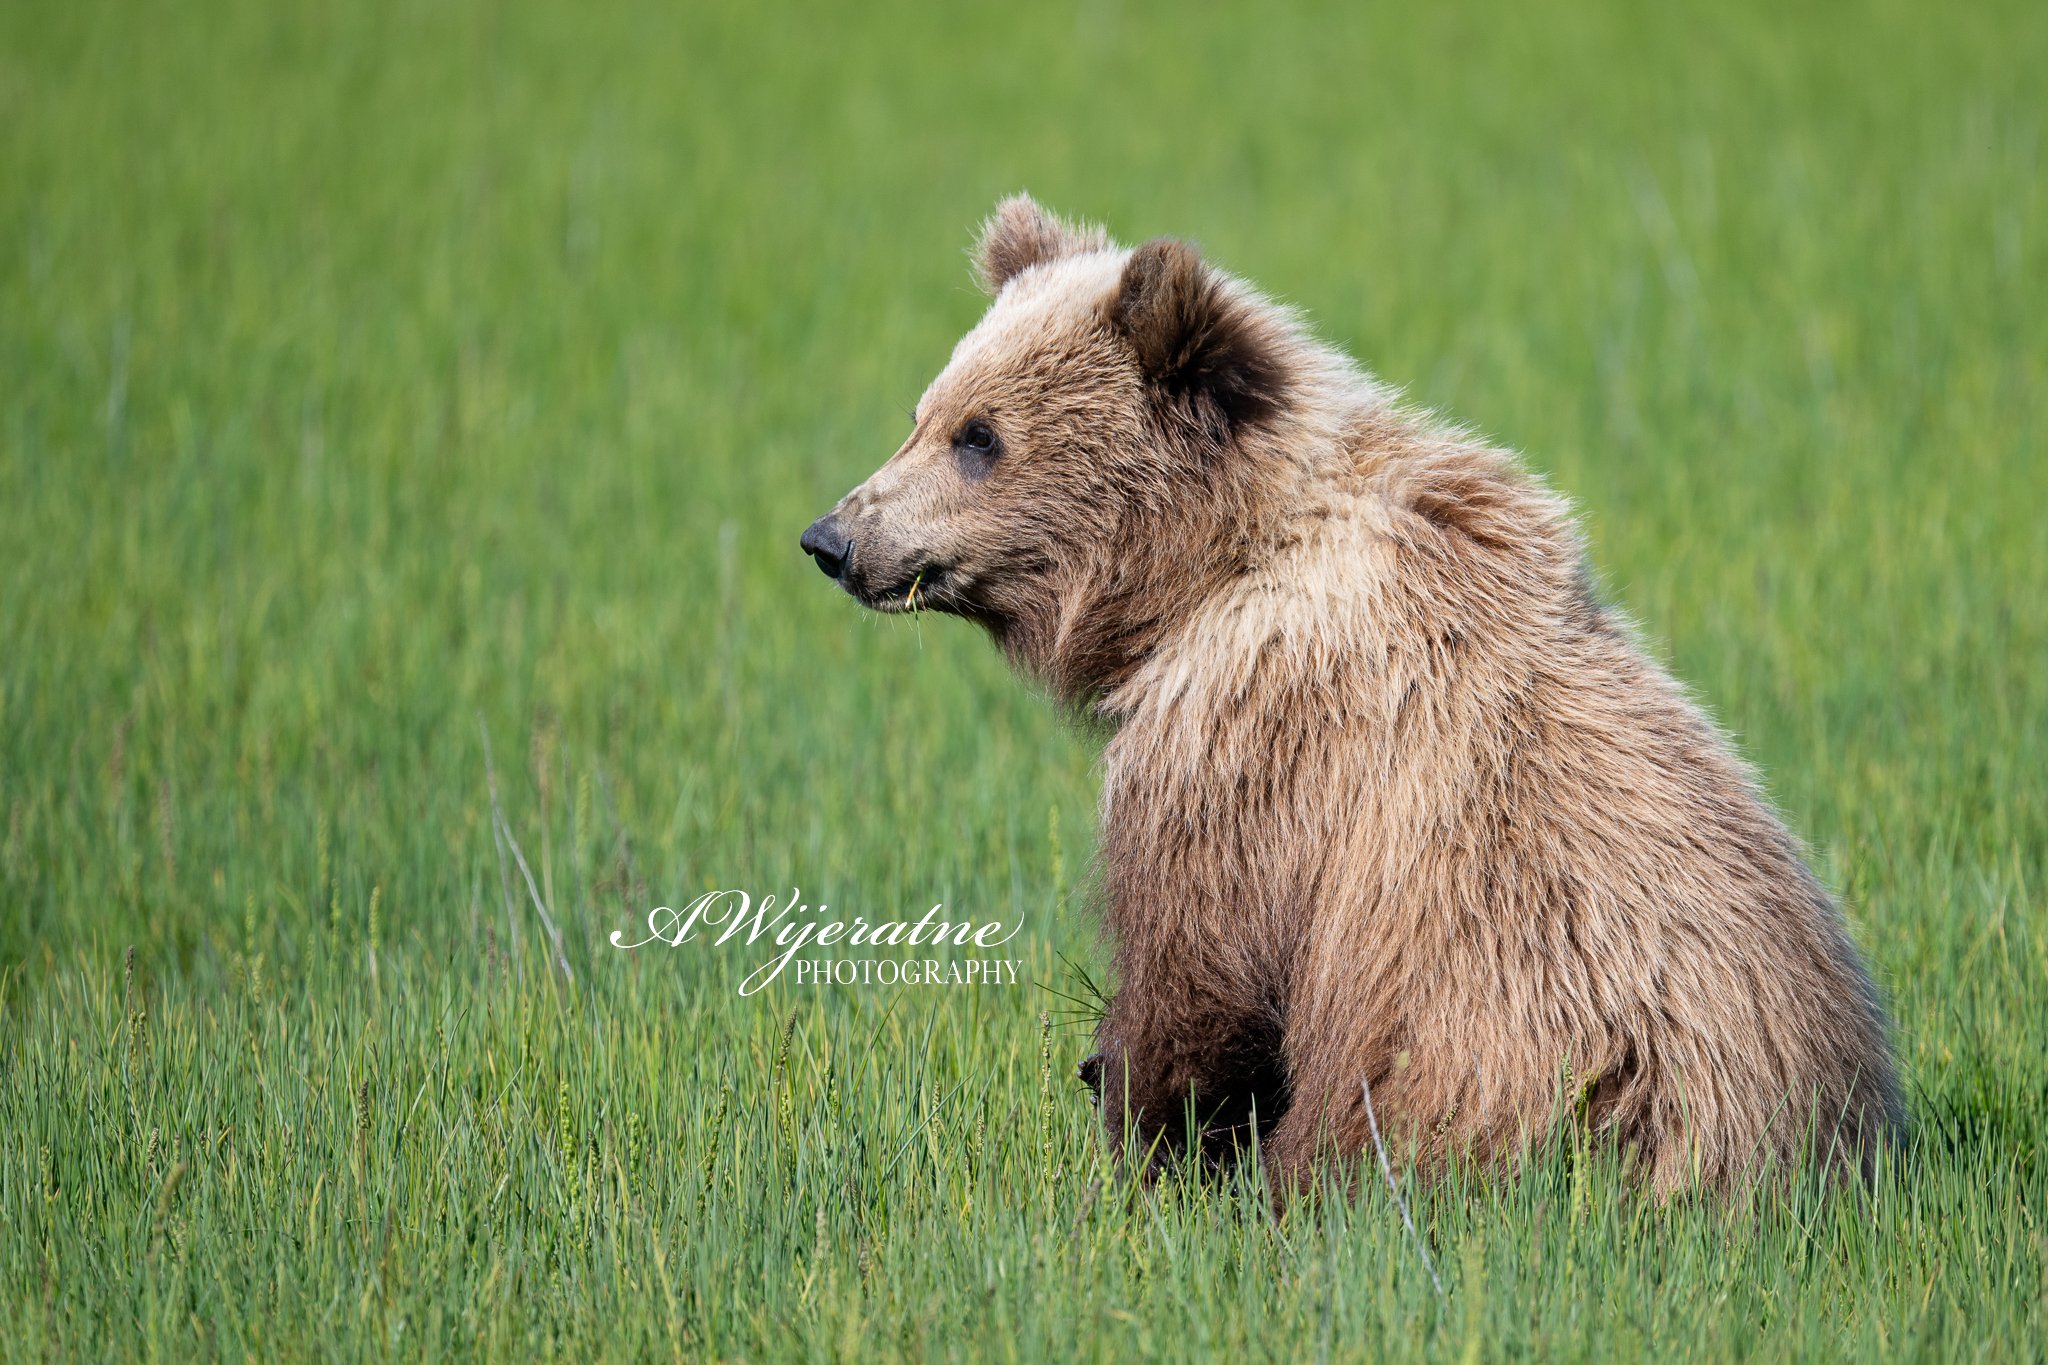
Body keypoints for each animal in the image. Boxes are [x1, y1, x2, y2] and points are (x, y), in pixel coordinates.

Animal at [801, 194, 1903, 1196]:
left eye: (979, 435)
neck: (1211, 571)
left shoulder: (1250, 735)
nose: (831, 538)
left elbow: (1195, 971)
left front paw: (1144, 1139)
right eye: (922, 413)